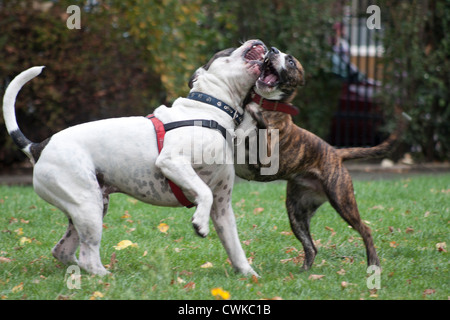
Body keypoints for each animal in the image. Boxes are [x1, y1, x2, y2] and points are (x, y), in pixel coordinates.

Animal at [3, 39, 268, 276]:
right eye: (229, 49)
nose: (263, 43)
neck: (210, 110)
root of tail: (38, 147)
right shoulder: (172, 162)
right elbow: (203, 192)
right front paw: (200, 223)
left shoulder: (222, 208)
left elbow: (235, 247)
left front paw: (249, 275)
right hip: (88, 207)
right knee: (88, 256)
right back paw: (105, 277)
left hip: (89, 208)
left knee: (63, 251)